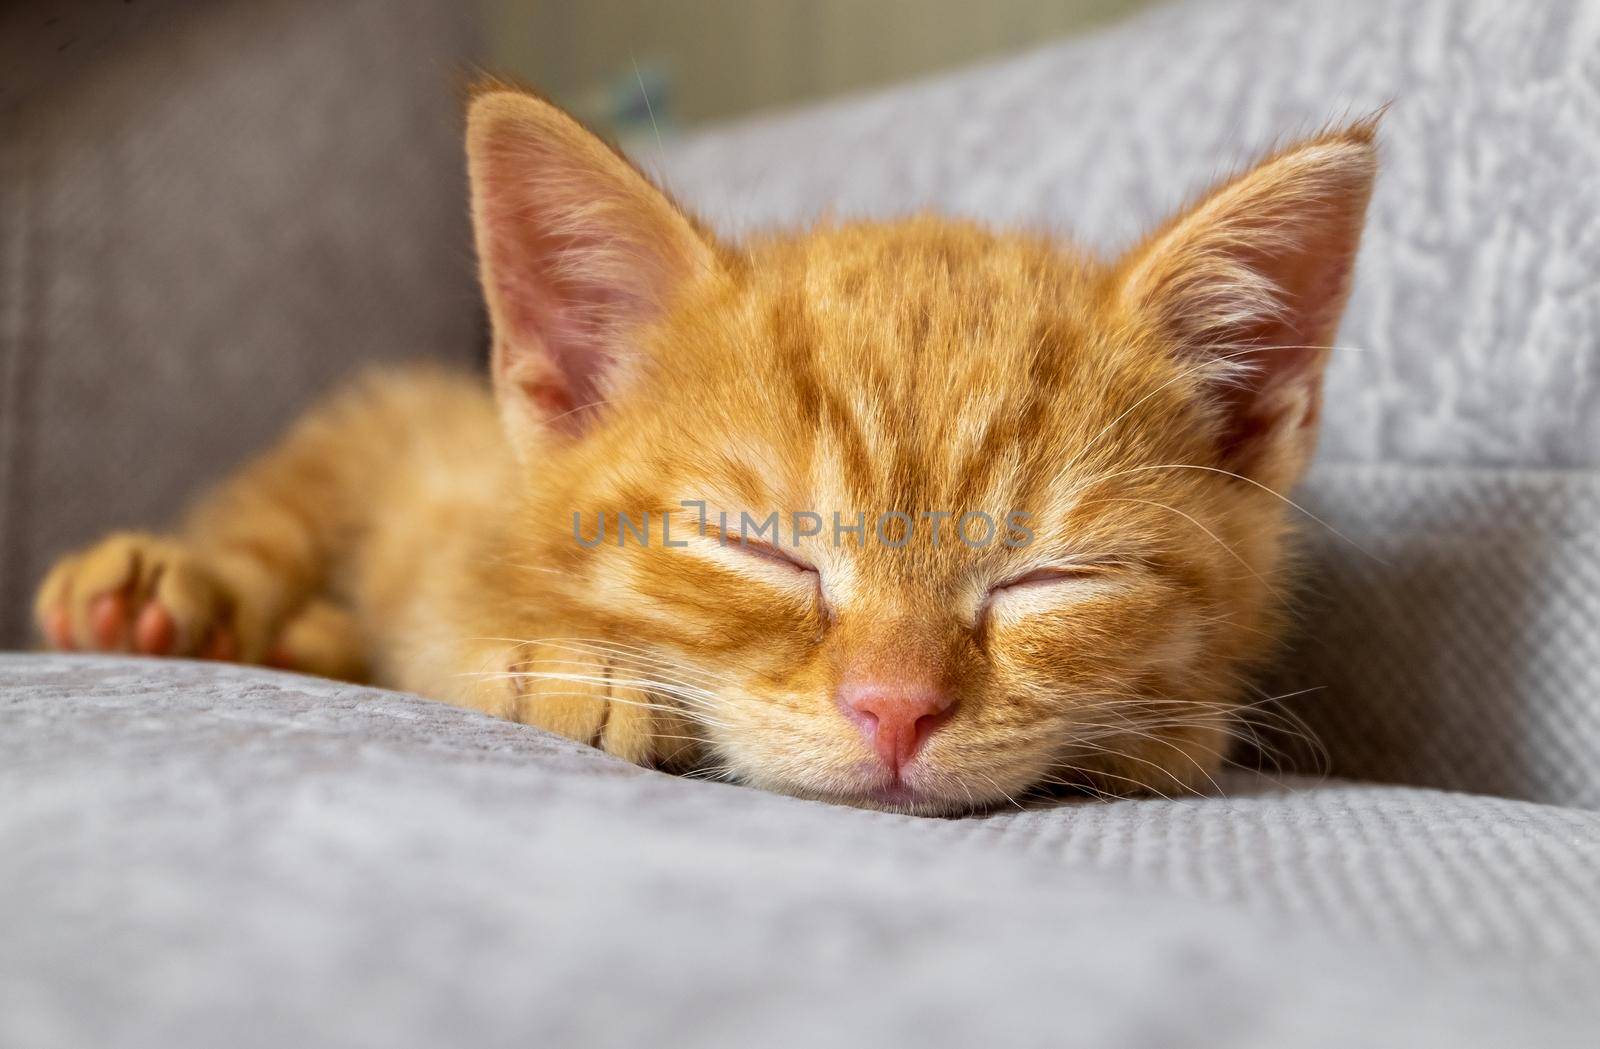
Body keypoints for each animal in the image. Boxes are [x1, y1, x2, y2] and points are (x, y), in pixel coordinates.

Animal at [34, 87, 1376, 812]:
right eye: (759, 549)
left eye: (1051, 577)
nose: (895, 709)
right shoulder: (428, 459)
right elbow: (431, 576)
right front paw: (564, 657)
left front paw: (1163, 727)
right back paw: (167, 590)